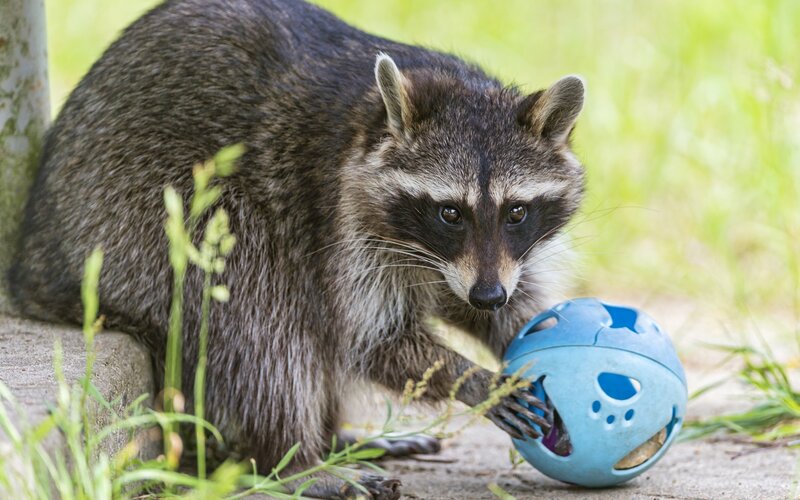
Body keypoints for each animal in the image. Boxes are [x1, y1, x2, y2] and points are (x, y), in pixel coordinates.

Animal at [10, 0, 585, 497]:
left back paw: (334, 438)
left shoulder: (490, 262)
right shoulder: (341, 220)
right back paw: (293, 459)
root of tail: (35, 262)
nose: (488, 296)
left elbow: (499, 301)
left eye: (516, 212)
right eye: (450, 213)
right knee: (262, 318)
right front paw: (474, 378)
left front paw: (519, 324)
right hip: (137, 222)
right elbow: (368, 339)